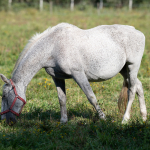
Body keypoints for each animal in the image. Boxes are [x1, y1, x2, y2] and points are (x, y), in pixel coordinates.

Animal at [0, 22, 146, 125]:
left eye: (4, 96)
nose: (5, 121)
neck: (53, 47)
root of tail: (138, 32)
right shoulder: (57, 77)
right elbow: (62, 99)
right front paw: (63, 121)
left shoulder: (78, 74)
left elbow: (91, 97)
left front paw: (103, 118)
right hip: (124, 70)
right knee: (139, 86)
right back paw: (144, 117)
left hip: (132, 66)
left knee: (132, 90)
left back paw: (125, 119)